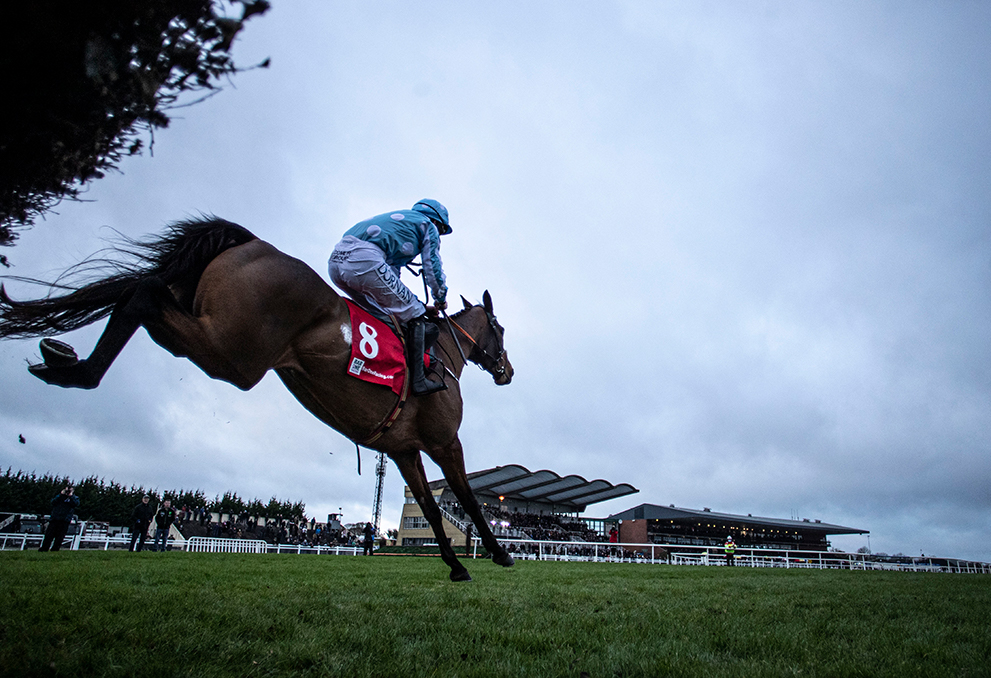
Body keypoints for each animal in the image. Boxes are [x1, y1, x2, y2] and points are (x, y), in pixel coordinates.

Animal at [1, 216, 520, 580]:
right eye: (499, 329)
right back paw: (76, 368)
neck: (441, 351)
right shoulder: (443, 441)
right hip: (233, 355)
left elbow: (431, 507)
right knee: (143, 293)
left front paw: (456, 565)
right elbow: (466, 500)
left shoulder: (402, 450)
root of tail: (250, 242)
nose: (508, 371)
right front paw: (499, 554)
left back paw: (67, 365)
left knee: (139, 293)